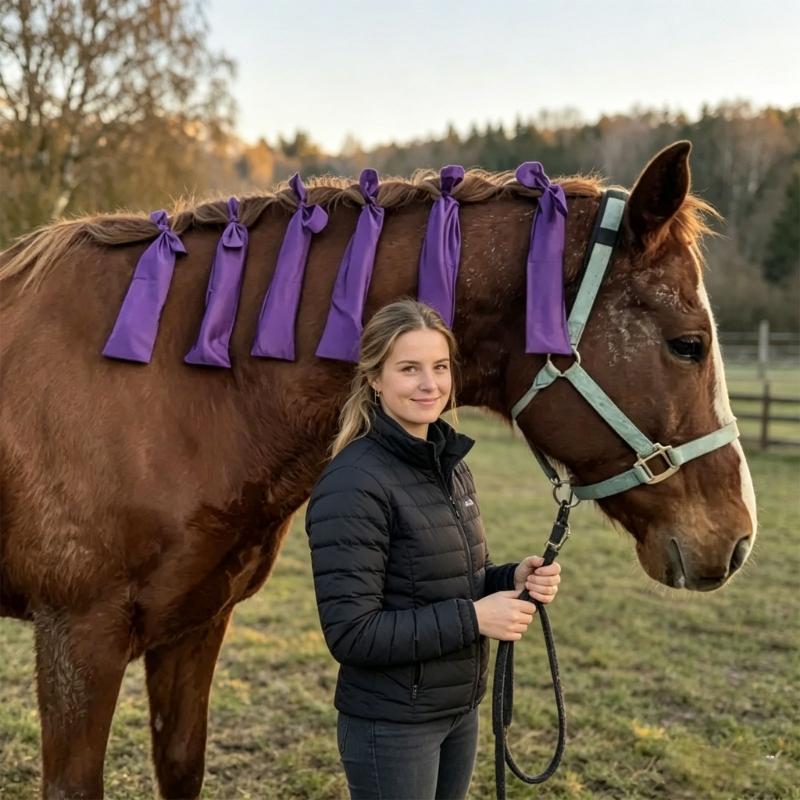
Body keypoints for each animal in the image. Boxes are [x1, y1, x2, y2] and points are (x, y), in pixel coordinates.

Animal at [0, 141, 757, 799]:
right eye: (688, 344)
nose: (737, 538)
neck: (171, 386)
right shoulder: (80, 641)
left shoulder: (195, 626)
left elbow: (182, 766)